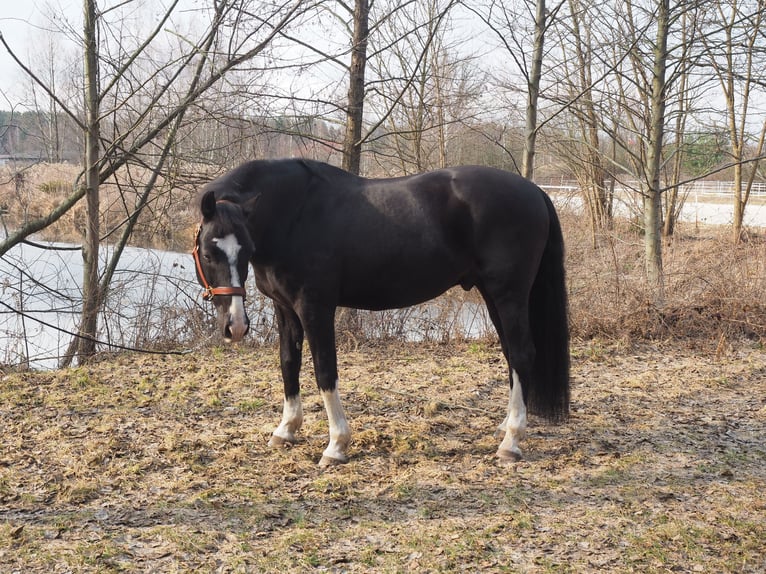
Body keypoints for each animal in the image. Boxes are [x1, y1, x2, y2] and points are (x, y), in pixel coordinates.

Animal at [192, 158, 570, 467]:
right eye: (210, 252)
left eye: (245, 249)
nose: (235, 326)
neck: (295, 214)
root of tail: (534, 190)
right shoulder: (285, 308)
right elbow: (288, 364)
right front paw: (286, 430)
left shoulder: (315, 308)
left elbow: (325, 371)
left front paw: (336, 446)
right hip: (492, 296)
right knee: (511, 355)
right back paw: (505, 427)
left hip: (509, 295)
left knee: (522, 354)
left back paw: (512, 442)